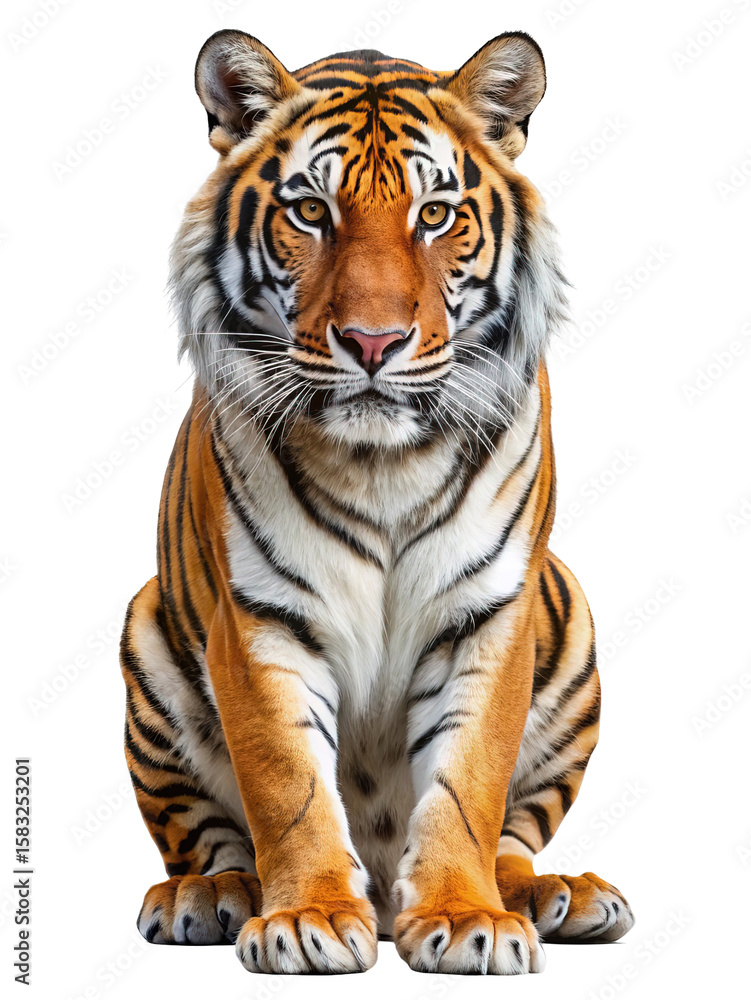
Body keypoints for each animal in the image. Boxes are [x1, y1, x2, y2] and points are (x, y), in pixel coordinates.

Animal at [120, 28, 635, 976]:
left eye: (433, 216)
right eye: (309, 212)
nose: (372, 341)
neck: (382, 461)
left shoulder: (488, 612)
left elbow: (469, 783)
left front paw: (466, 918)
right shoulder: (262, 618)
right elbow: (286, 784)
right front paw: (308, 919)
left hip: (568, 614)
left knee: (514, 836)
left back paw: (555, 895)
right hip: (148, 634)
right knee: (203, 835)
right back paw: (209, 895)